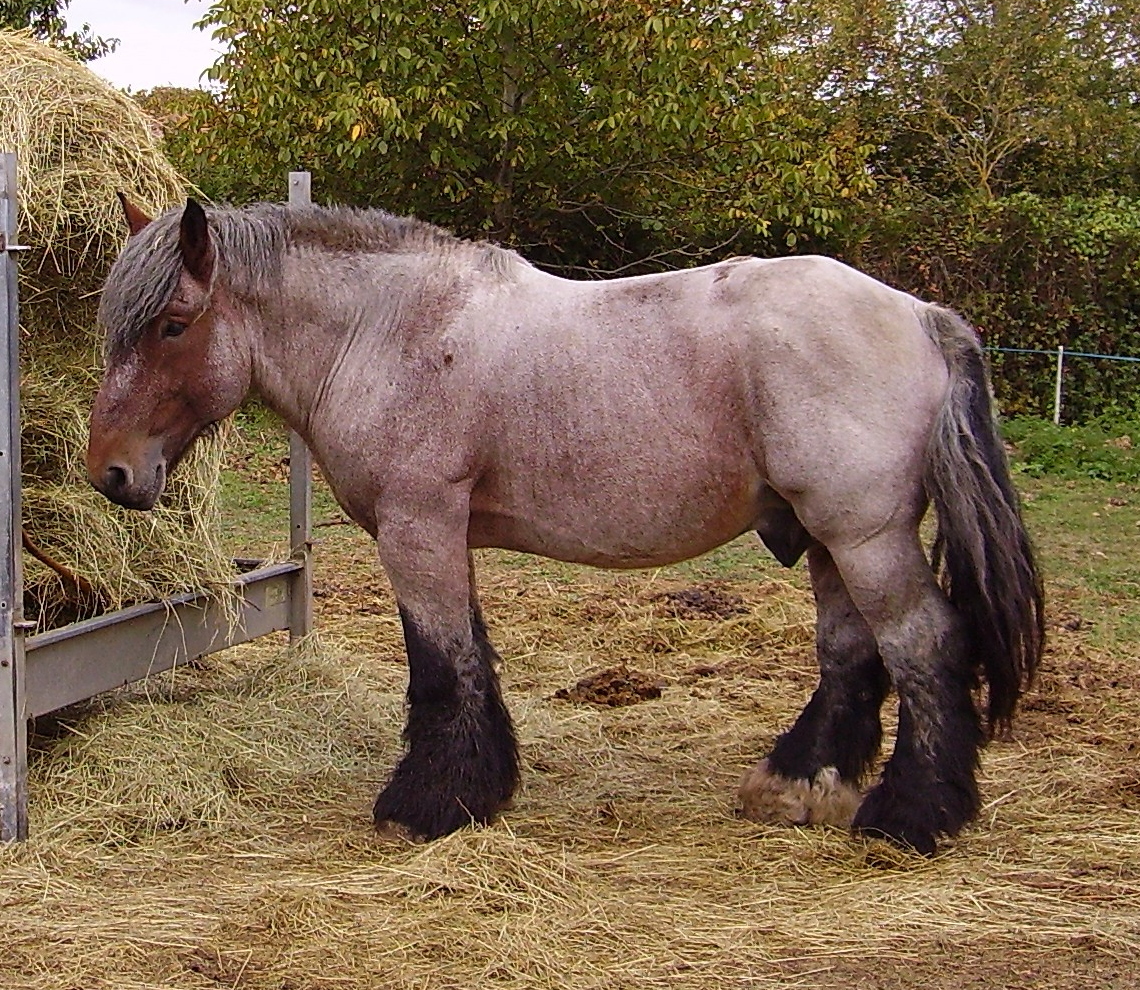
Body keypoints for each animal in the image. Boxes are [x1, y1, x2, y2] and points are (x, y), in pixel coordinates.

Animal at [88, 197, 1044, 853]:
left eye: (173, 324)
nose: (113, 473)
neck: (385, 330)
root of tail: (921, 315)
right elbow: (469, 659)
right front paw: (479, 789)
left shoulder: (417, 527)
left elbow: (443, 665)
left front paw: (427, 804)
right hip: (828, 541)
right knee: (851, 656)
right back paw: (798, 786)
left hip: (863, 536)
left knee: (922, 645)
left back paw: (911, 815)